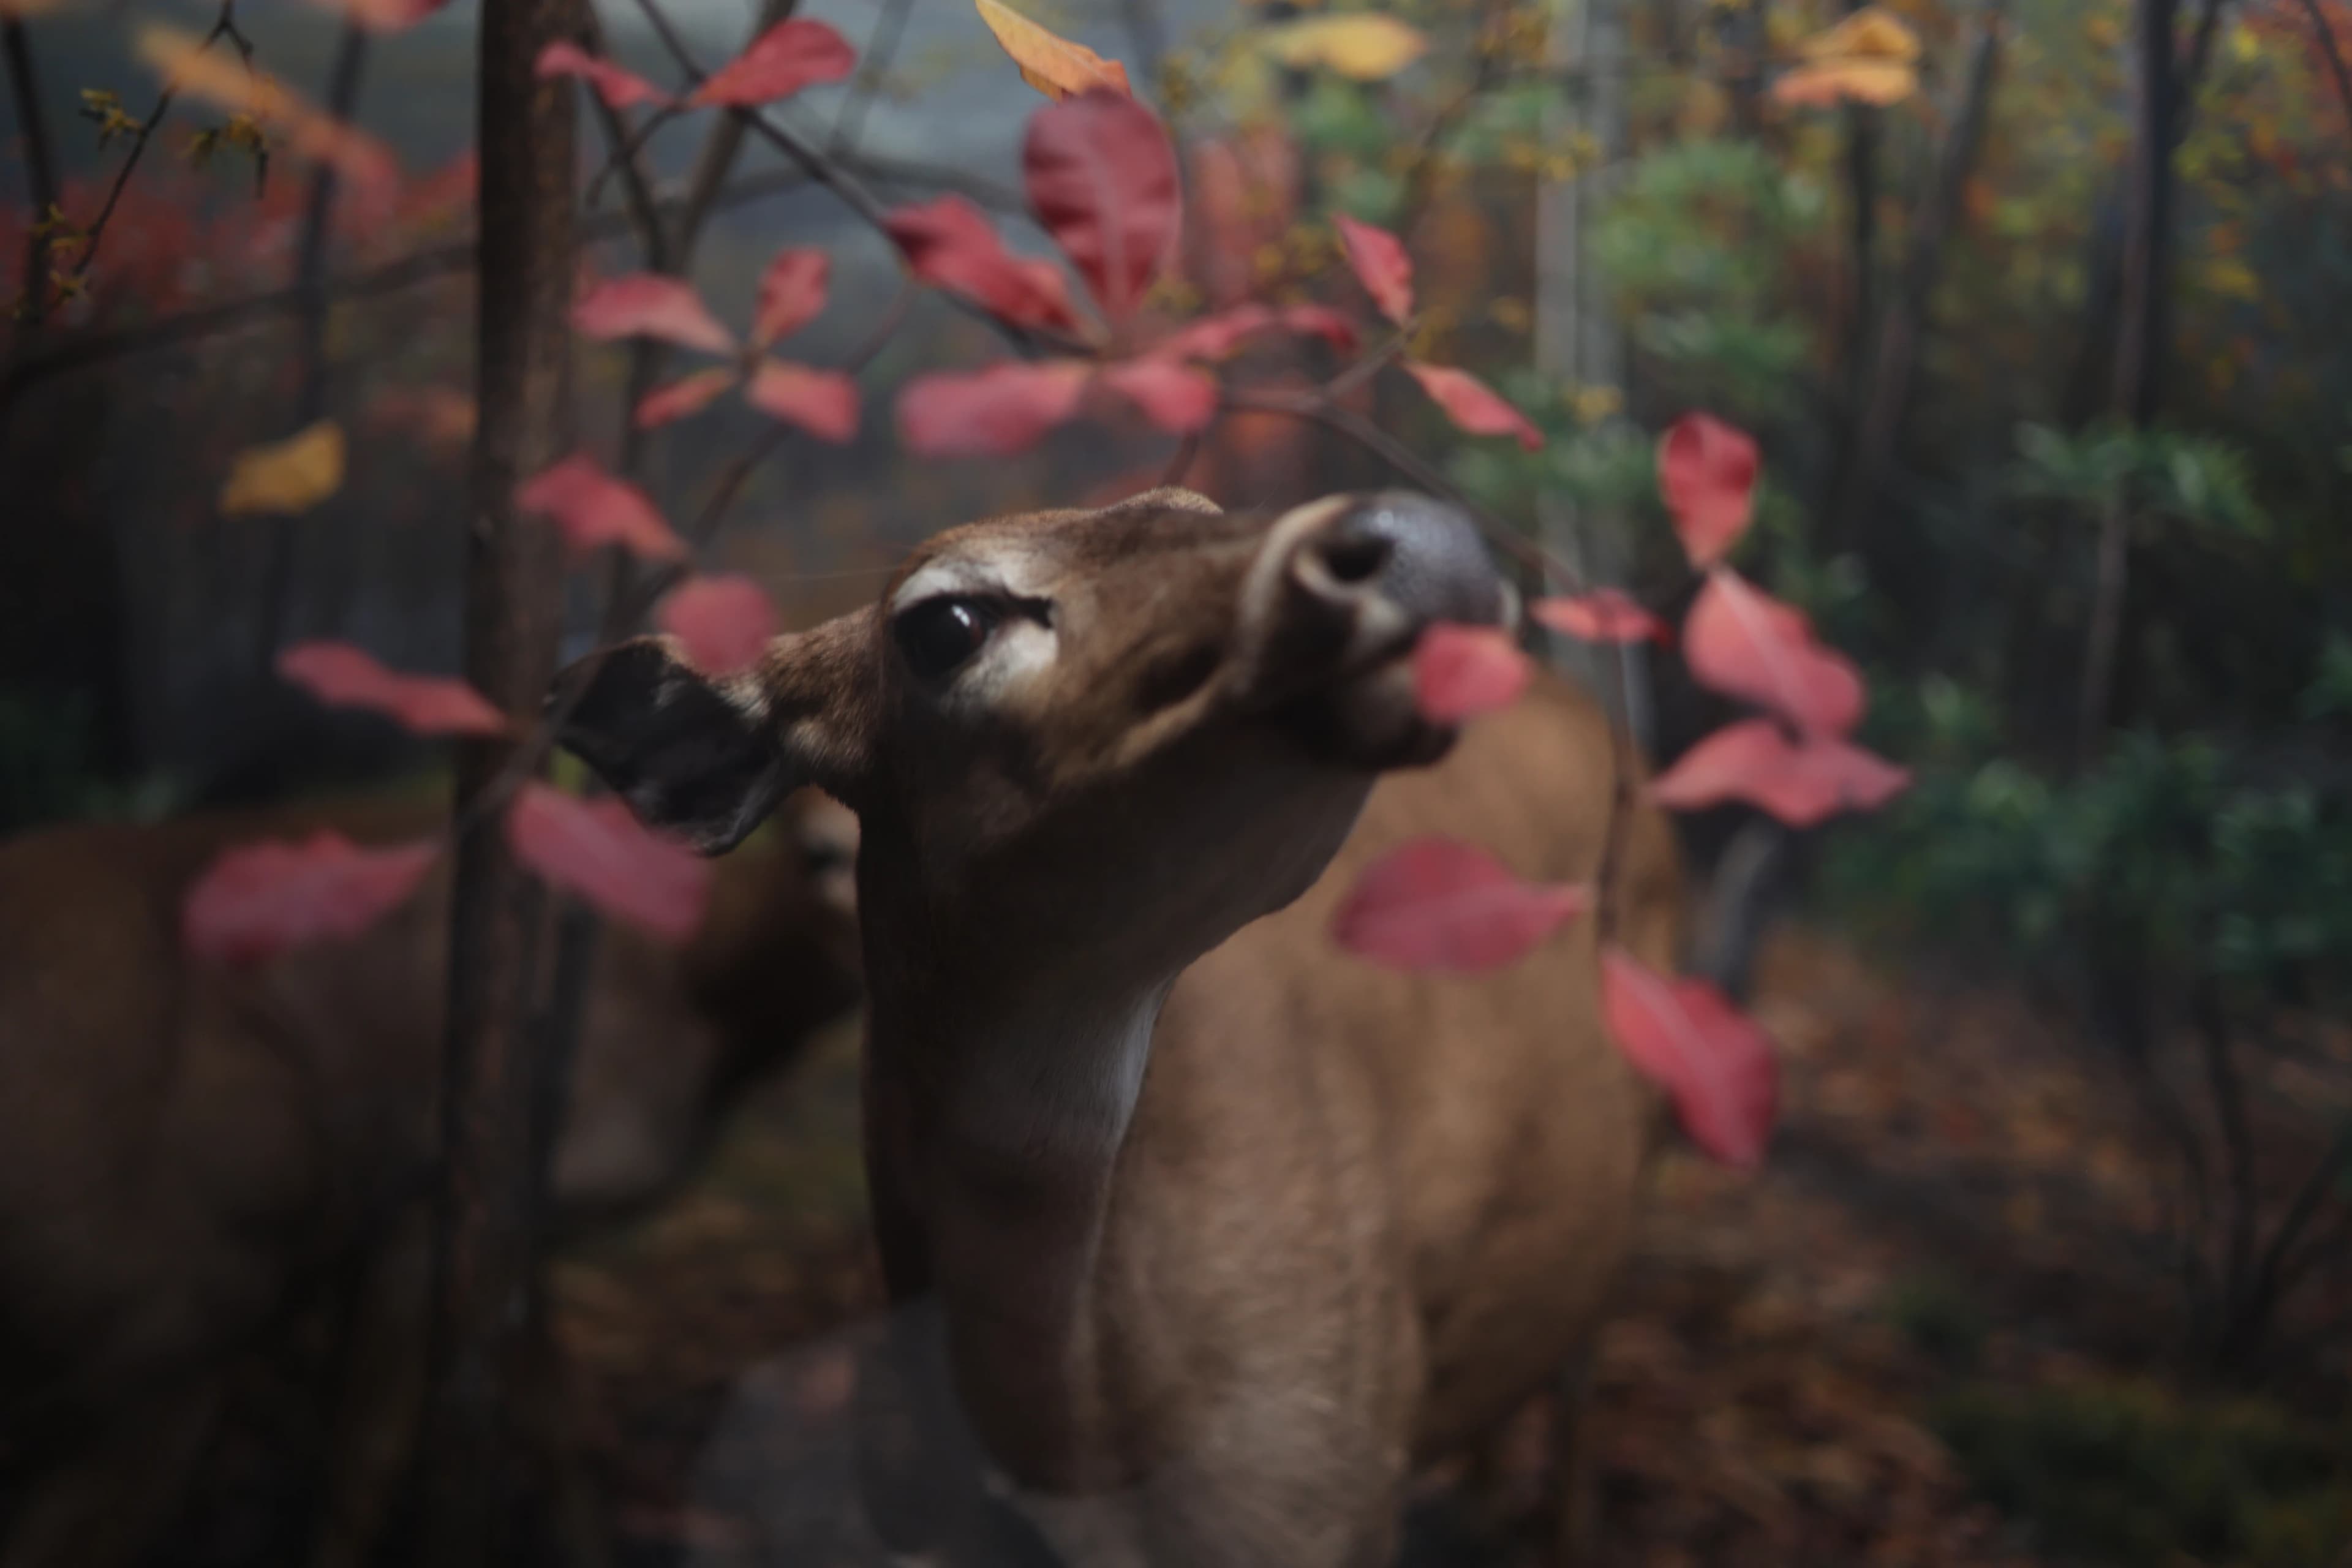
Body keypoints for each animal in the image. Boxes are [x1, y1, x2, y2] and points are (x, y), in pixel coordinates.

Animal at [0, 784, 862, 1568]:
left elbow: (554, 1425)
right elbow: (371, 1456)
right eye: (816, 850)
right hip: (173, 1305)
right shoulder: (435, 1196)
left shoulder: (527, 1219)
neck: (702, 995)